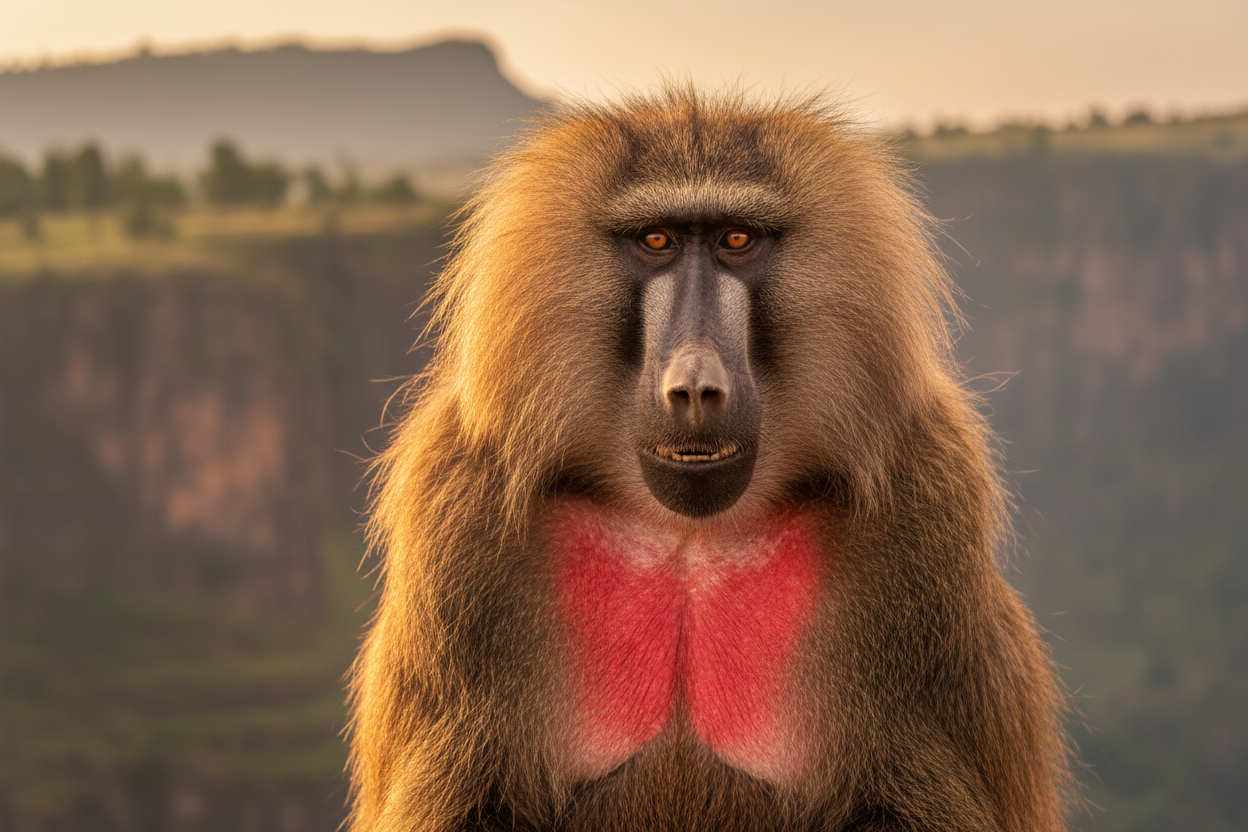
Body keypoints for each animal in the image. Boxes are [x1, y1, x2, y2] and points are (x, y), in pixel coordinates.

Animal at [347, 89, 1071, 832]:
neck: (689, 534)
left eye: (736, 241)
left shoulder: (922, 506)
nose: (695, 388)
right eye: (657, 241)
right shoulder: (463, 512)